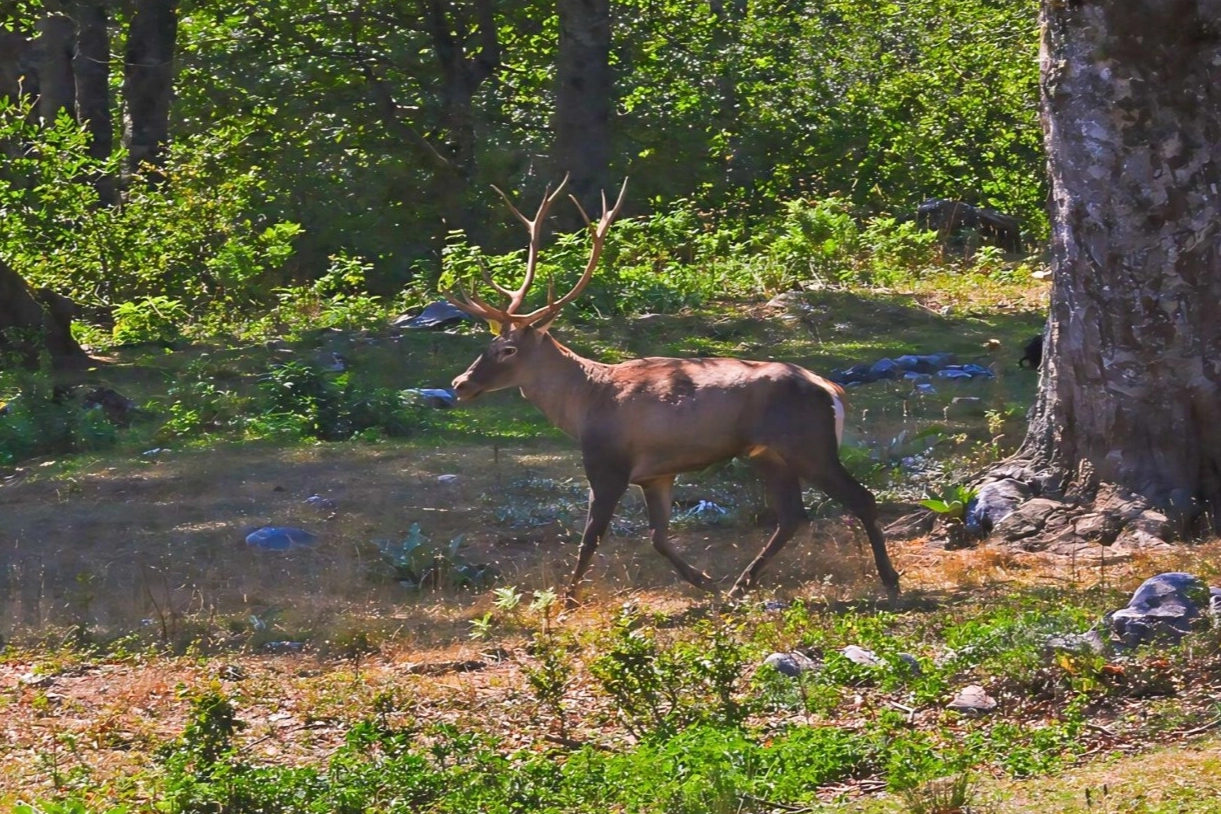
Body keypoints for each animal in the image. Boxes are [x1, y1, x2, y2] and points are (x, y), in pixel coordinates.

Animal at [444, 181, 903, 607]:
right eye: (488, 344)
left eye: (507, 349)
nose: (460, 384)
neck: (584, 405)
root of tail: (833, 390)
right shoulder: (656, 473)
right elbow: (658, 536)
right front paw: (705, 582)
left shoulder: (607, 463)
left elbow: (591, 537)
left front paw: (566, 600)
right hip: (769, 453)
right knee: (792, 516)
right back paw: (739, 585)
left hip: (809, 444)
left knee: (861, 498)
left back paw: (890, 581)